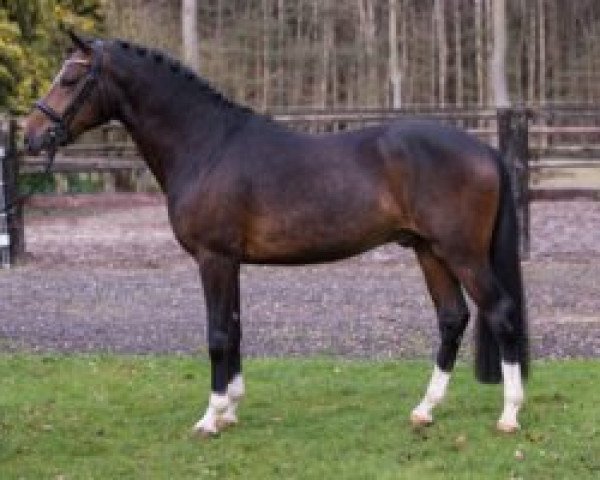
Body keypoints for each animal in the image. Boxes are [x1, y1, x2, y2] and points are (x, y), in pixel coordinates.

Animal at [25, 31, 528, 436]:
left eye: (70, 79)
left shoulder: (214, 258)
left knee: (501, 313)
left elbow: (217, 335)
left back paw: (509, 415)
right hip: (429, 251)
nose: (30, 136)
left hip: (461, 253)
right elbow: (234, 329)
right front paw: (231, 409)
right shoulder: (229, 261)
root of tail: (484, 149)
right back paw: (425, 409)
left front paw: (210, 418)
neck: (206, 145)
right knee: (452, 318)